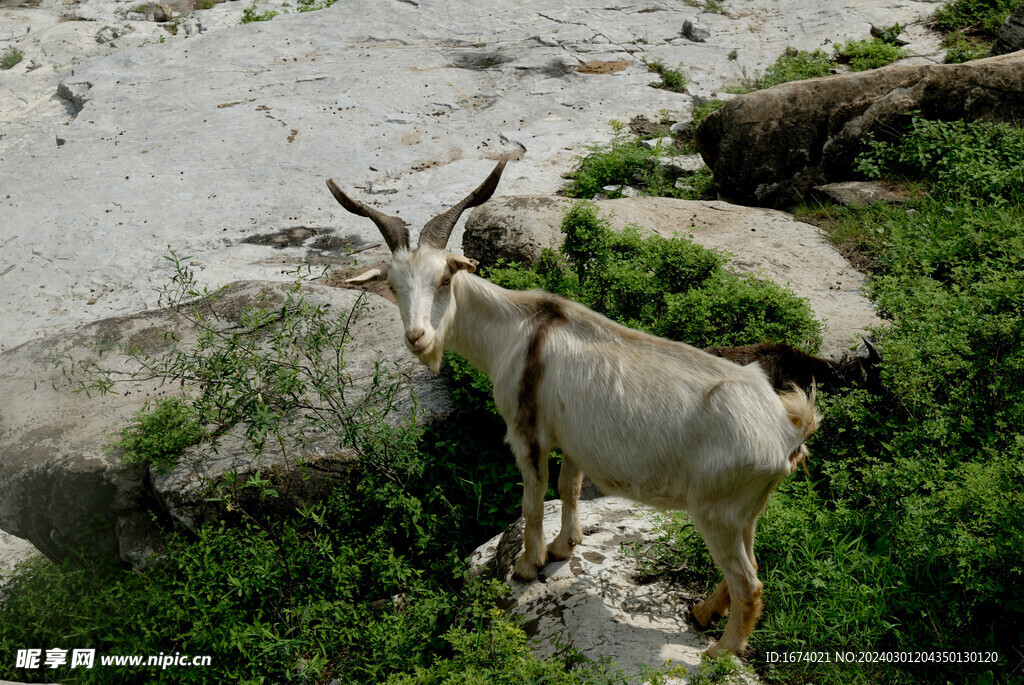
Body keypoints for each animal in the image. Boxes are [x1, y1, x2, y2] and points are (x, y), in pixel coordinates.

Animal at [331, 156, 819, 655]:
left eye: (445, 278)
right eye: (393, 286)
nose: (417, 337)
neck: (518, 329)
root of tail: (788, 429)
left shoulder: (526, 433)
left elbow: (532, 500)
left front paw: (528, 565)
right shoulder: (572, 439)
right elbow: (569, 487)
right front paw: (565, 547)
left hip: (715, 513)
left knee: (750, 584)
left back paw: (719, 652)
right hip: (746, 512)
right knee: (751, 562)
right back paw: (701, 613)